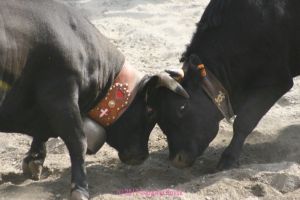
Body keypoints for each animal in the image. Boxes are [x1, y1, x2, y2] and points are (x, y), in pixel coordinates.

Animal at [0, 0, 188, 199]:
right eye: (151, 111)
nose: (142, 156)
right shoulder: (61, 96)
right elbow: (78, 141)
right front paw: (80, 188)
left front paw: (35, 159)